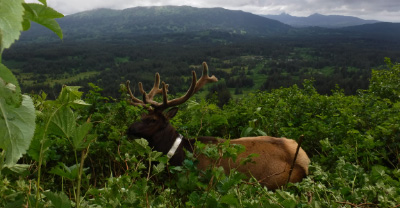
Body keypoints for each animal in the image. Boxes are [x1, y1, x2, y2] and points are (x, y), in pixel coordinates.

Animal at [125, 62, 310, 190]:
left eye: (153, 120)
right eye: (142, 115)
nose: (129, 128)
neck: (178, 155)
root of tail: (305, 164)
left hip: (272, 182)